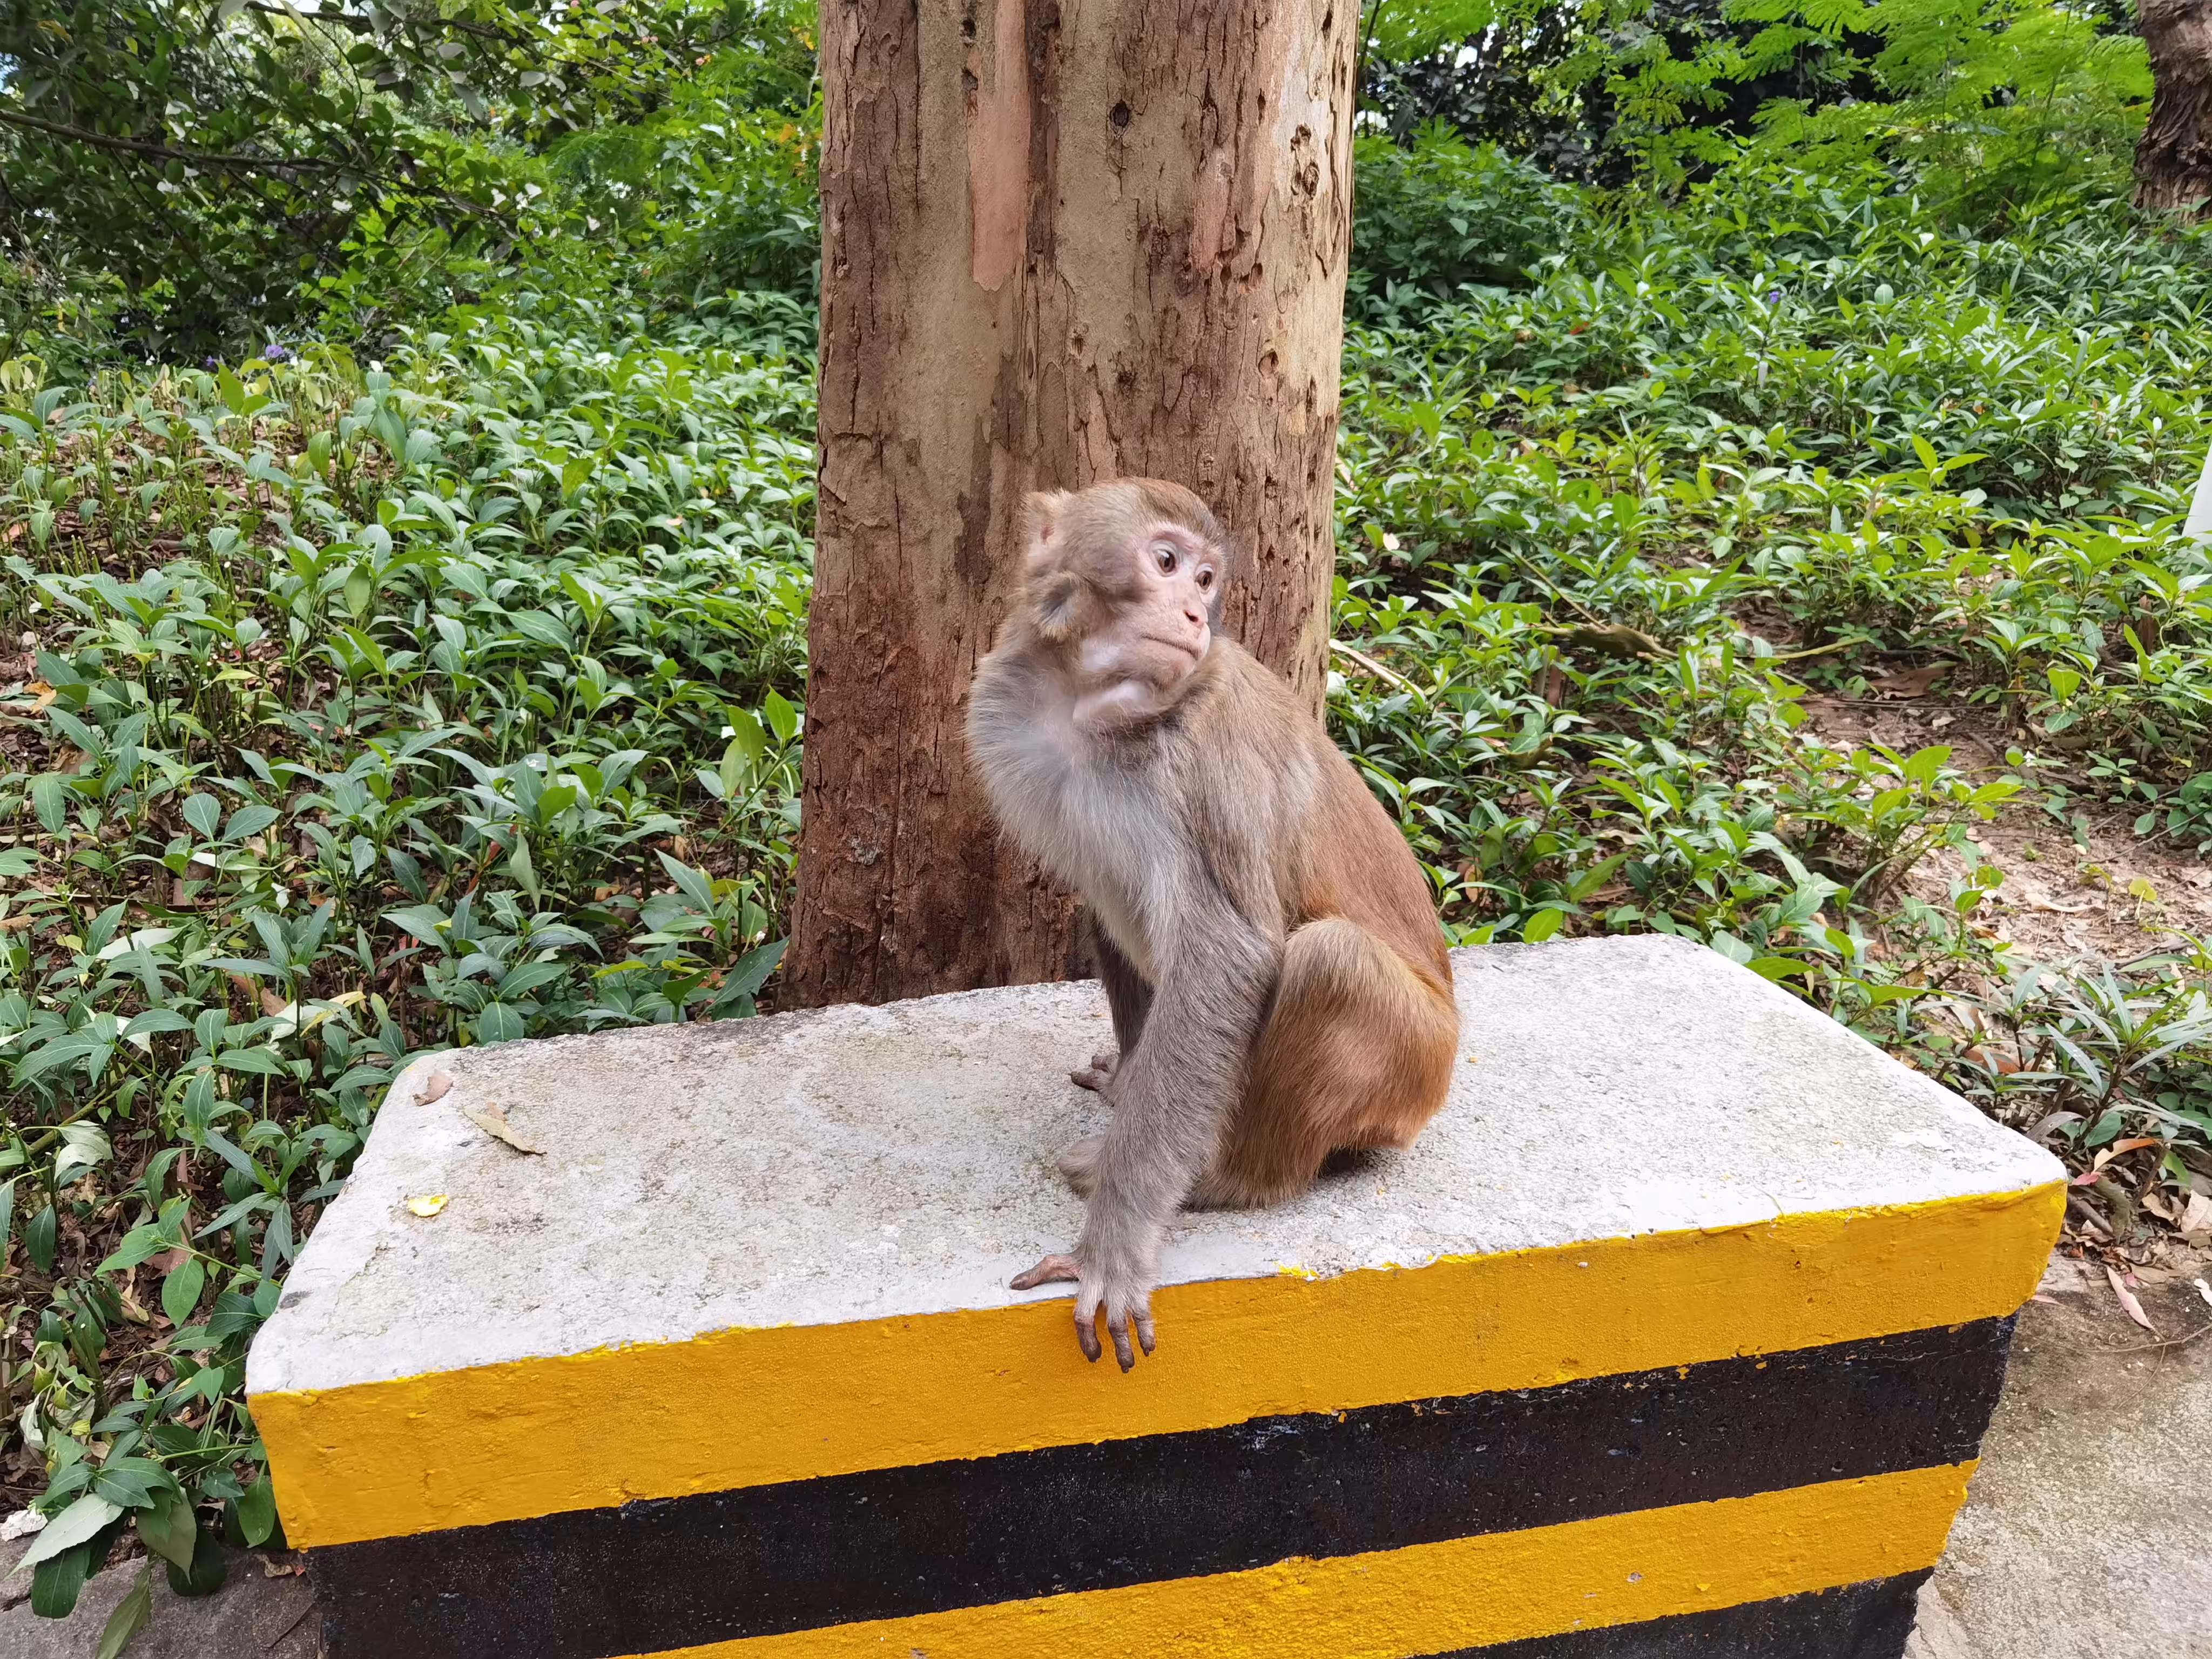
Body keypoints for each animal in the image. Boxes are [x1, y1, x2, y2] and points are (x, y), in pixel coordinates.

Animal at [965, 479, 1460, 1371]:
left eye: (1203, 580)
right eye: (1165, 563)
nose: (1195, 615)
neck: (1092, 711)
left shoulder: (1207, 761)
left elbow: (1225, 955)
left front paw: (1114, 1244)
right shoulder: (1007, 719)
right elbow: (1104, 900)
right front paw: (1127, 1081)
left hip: (1416, 1063)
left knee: (1328, 961)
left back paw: (1223, 1181)